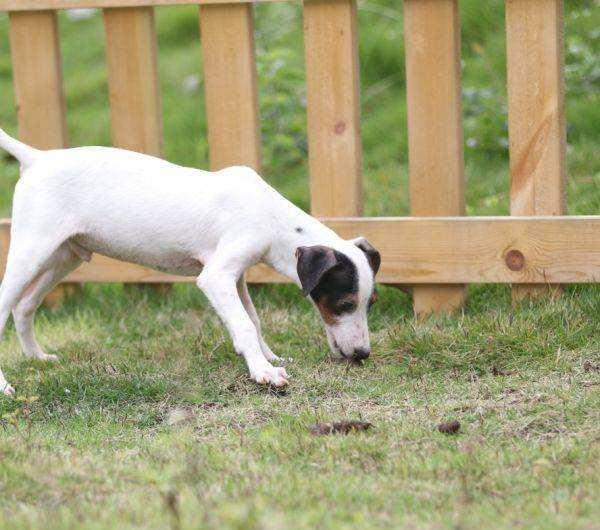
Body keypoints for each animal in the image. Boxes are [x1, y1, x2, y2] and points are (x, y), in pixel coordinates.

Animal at [0, 128, 380, 392]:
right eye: (344, 303)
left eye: (370, 303)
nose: (363, 354)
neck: (271, 216)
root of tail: (37, 158)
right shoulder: (215, 277)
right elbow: (243, 325)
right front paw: (264, 372)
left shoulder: (236, 276)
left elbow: (253, 319)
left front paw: (269, 357)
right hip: (31, 251)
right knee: (8, 304)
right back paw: (5, 386)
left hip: (63, 257)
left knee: (24, 307)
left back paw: (37, 358)